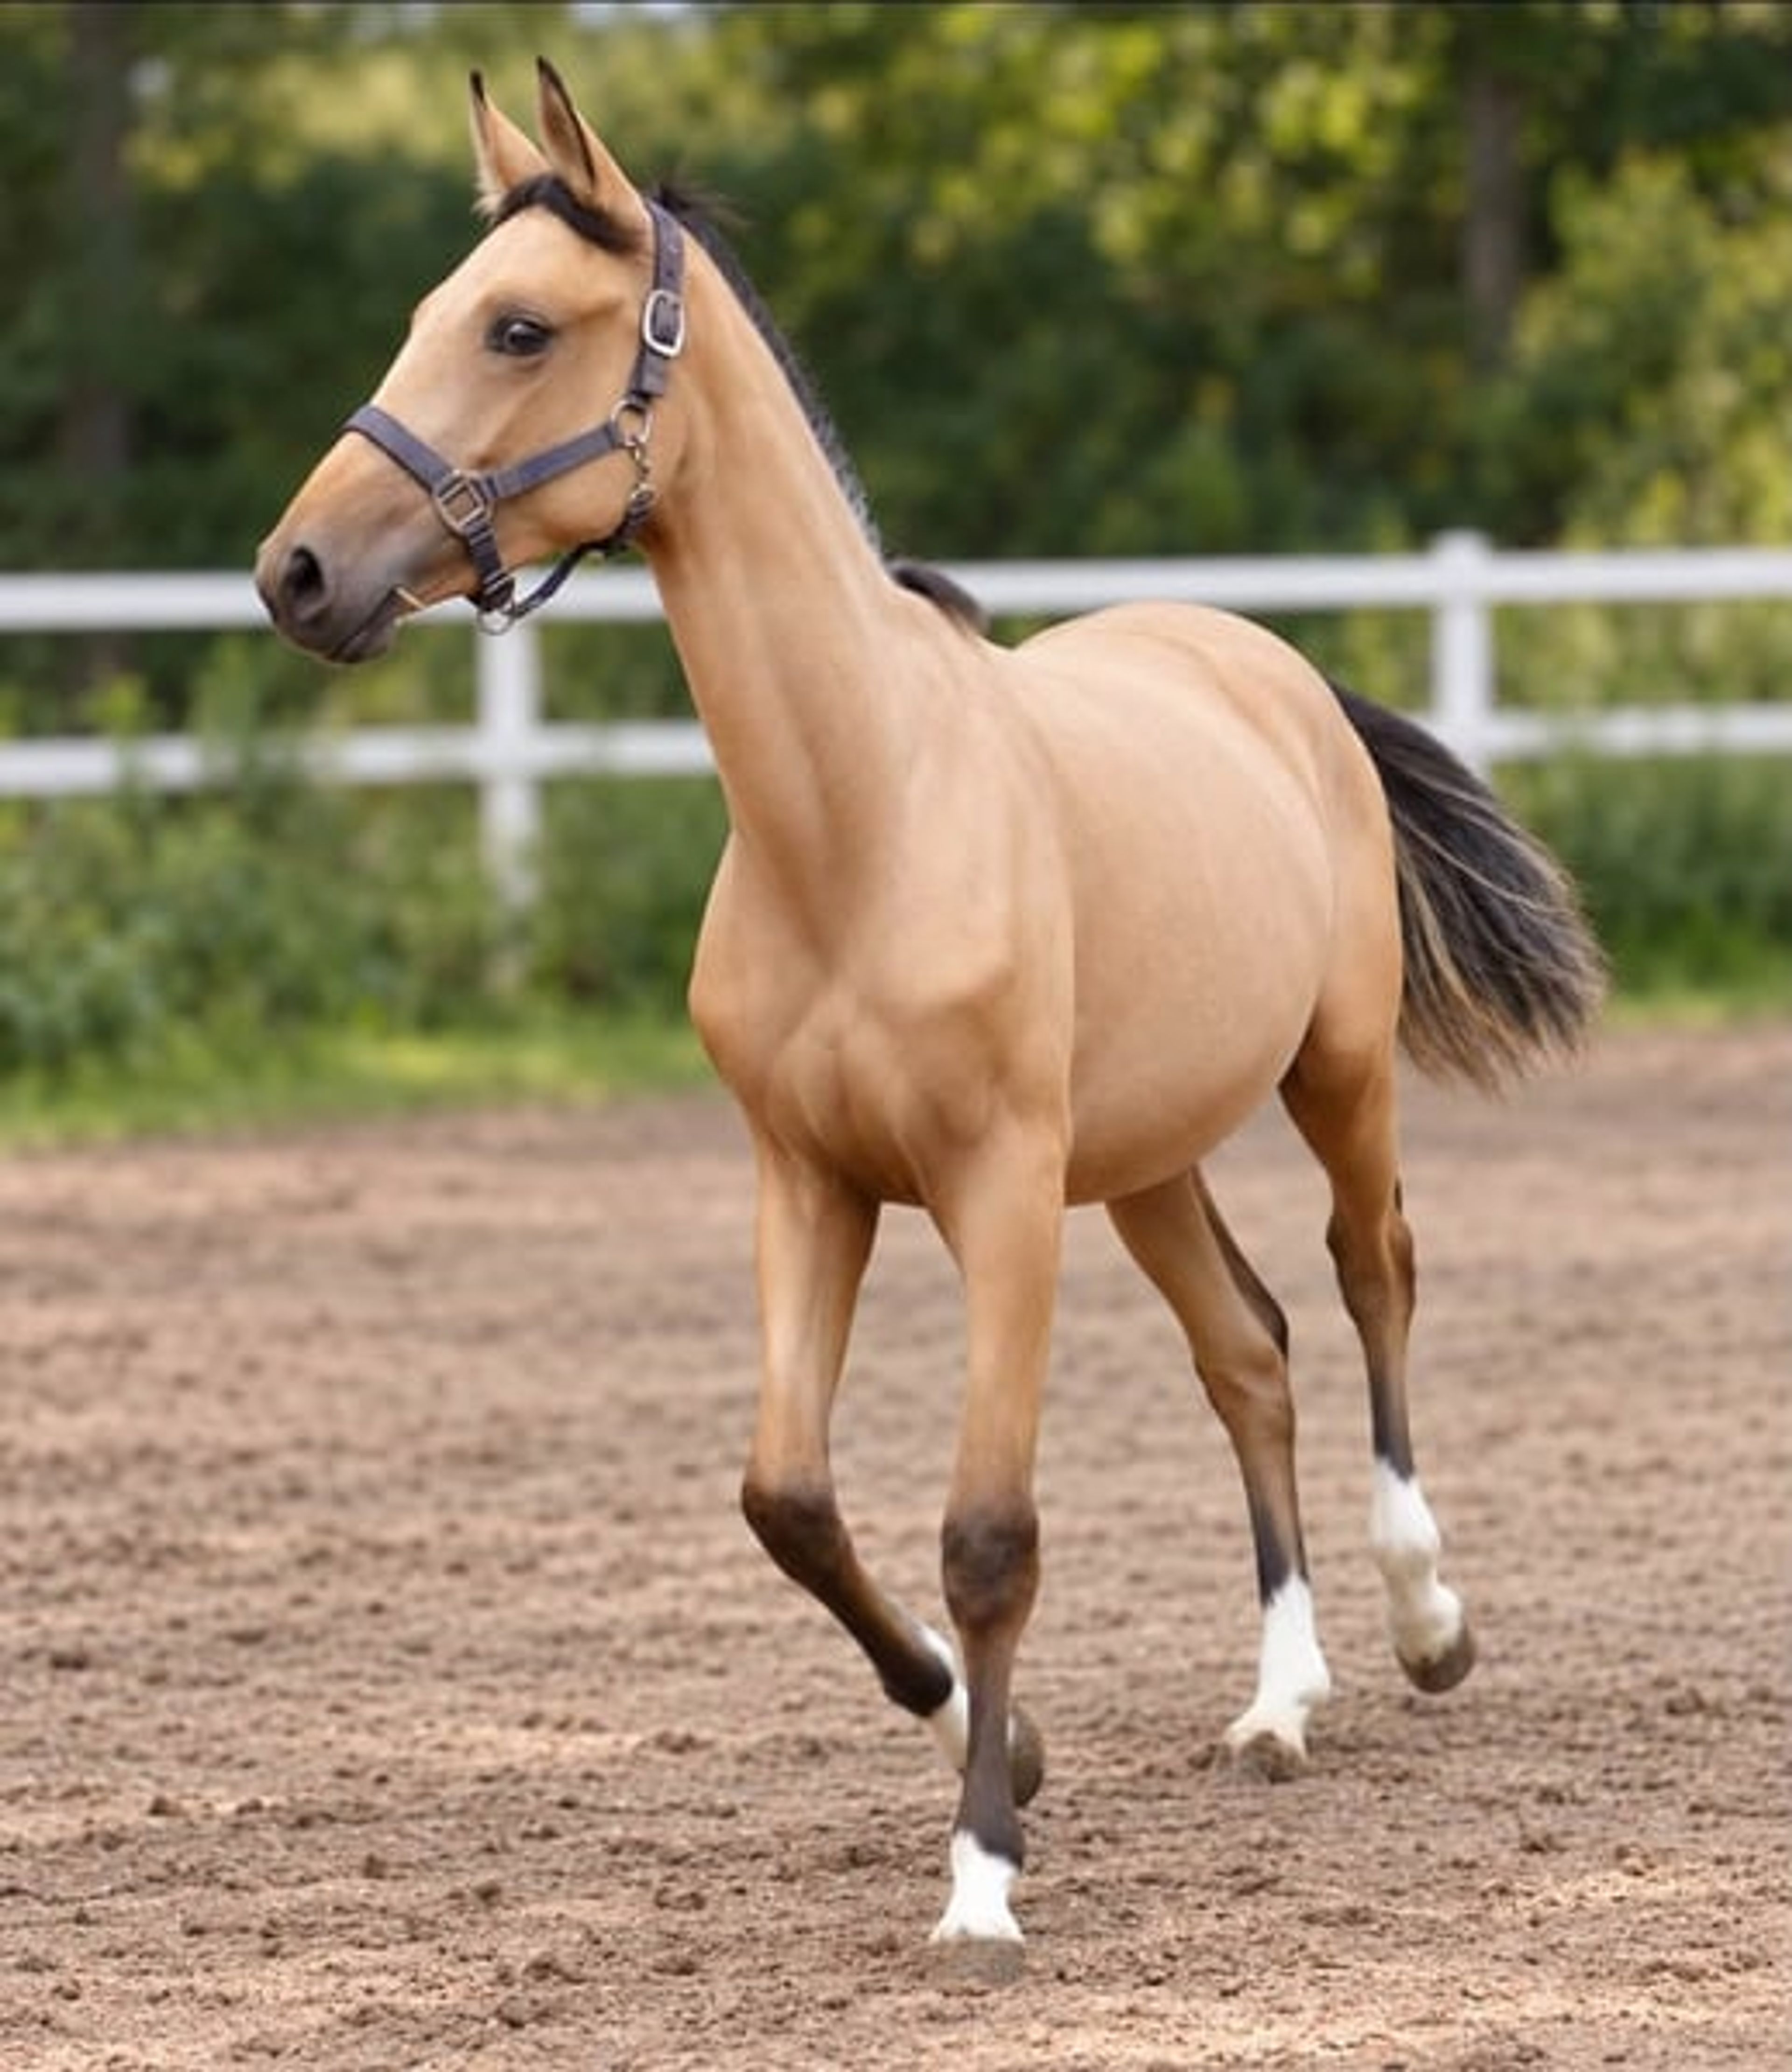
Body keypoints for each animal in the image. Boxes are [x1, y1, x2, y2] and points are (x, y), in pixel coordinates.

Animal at [256, 60, 1604, 1953]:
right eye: (428, 317)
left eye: (517, 325)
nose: (297, 572)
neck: (863, 814)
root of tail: (1261, 660)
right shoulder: (808, 1182)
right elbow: (790, 1499)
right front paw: (999, 1738)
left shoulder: (997, 1197)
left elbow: (987, 1534)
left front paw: (982, 1882)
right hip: (1145, 1162)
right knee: (1248, 1352)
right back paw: (1277, 1707)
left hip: (1330, 1077)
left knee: (1370, 1275)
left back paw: (1426, 1622)